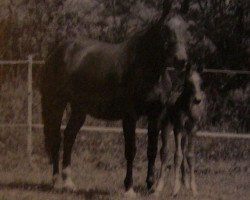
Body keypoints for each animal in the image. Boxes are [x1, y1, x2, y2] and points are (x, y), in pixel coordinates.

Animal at [40, 2, 189, 197]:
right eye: (165, 28)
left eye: (187, 28)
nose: (181, 60)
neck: (147, 70)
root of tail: (57, 51)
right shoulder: (130, 116)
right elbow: (131, 150)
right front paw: (129, 188)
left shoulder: (155, 115)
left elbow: (152, 150)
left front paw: (150, 186)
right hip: (57, 104)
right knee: (57, 139)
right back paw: (56, 181)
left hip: (79, 109)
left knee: (69, 137)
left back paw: (68, 182)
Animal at [157, 64, 206, 197]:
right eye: (189, 83)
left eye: (201, 82)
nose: (198, 99)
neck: (188, 108)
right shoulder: (178, 127)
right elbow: (177, 155)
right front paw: (175, 188)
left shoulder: (192, 129)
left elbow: (190, 155)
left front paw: (193, 188)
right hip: (166, 126)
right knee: (164, 152)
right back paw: (159, 186)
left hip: (184, 133)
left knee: (183, 151)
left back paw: (185, 183)